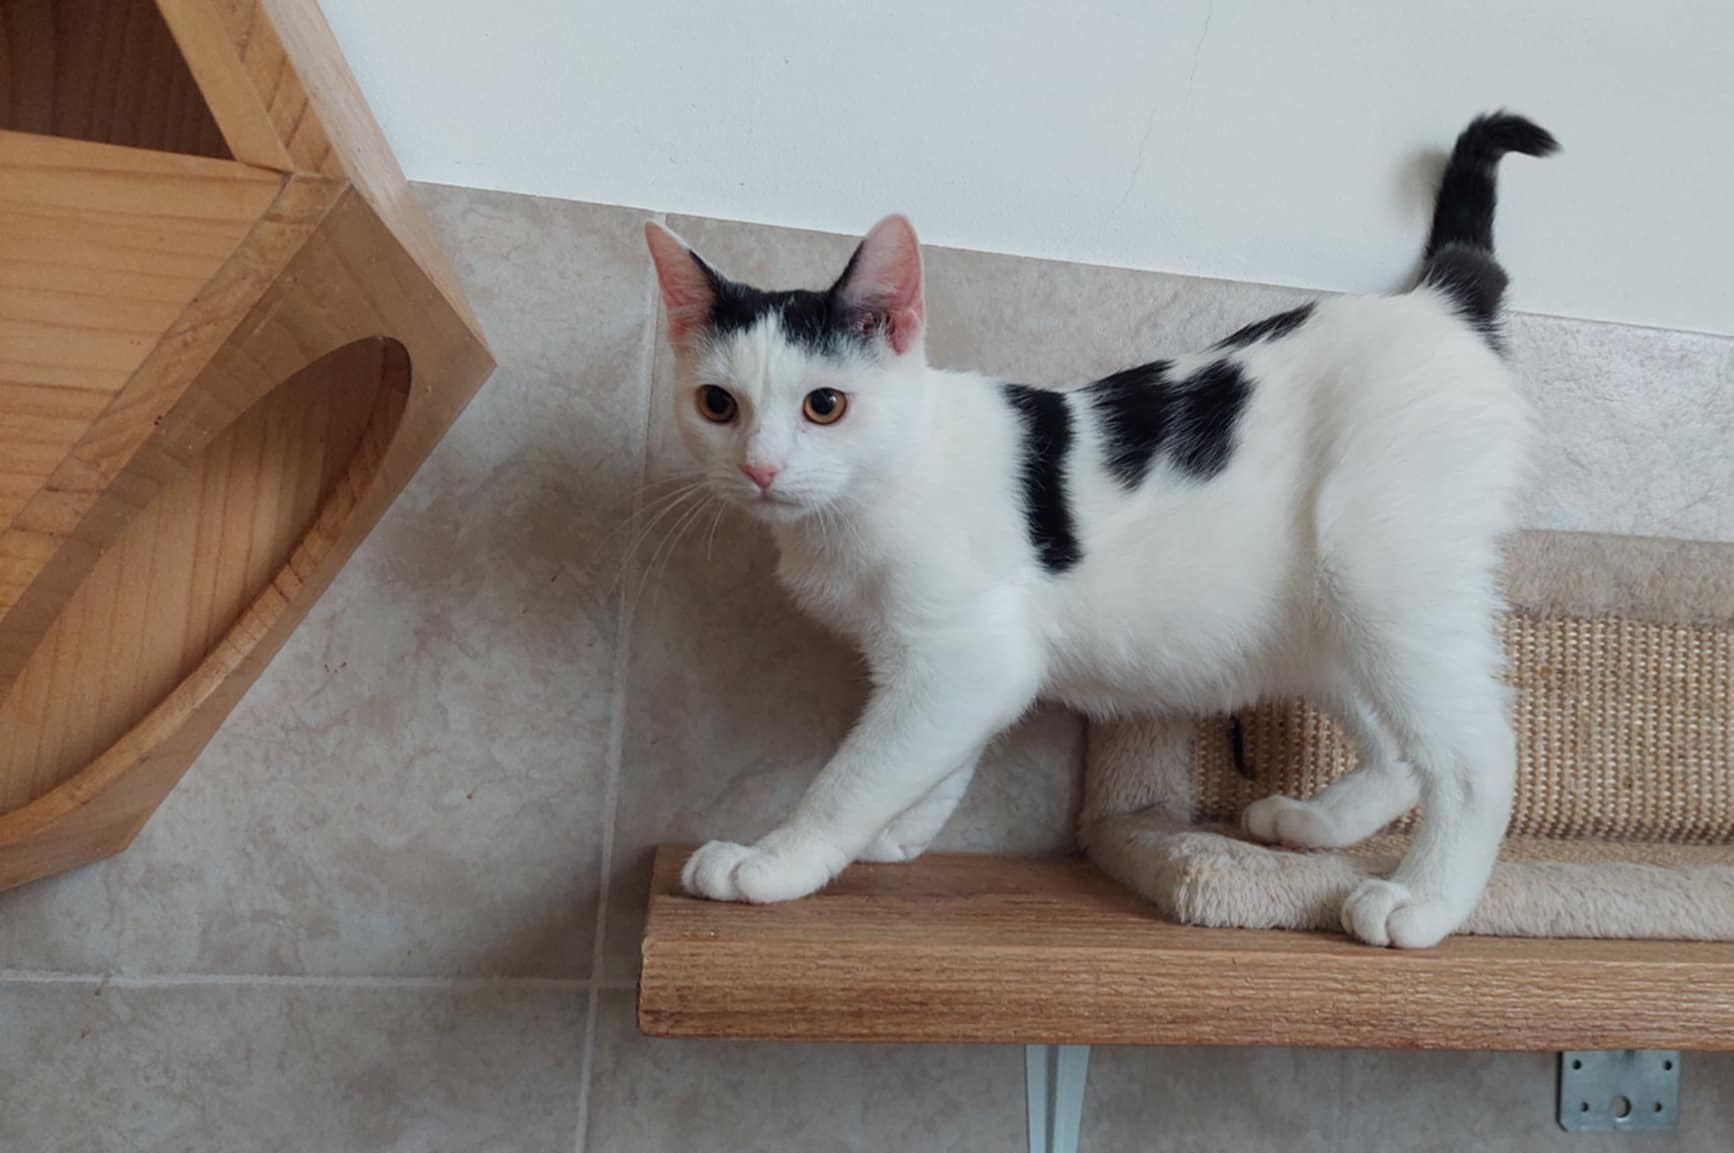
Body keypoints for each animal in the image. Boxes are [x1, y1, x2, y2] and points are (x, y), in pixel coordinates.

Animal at [644, 112, 1557, 948]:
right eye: (717, 404)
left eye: (824, 405)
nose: (761, 468)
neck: (889, 472)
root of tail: (1439, 301)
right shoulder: (961, 661)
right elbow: (932, 755)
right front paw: (901, 828)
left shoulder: (960, 654)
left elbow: (855, 772)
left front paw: (777, 859)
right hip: (1323, 619)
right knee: (1402, 749)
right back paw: (1315, 824)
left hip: (1377, 570)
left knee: (1479, 751)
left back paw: (1424, 902)